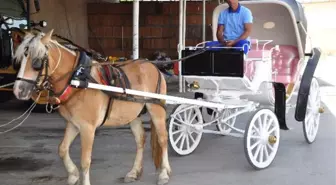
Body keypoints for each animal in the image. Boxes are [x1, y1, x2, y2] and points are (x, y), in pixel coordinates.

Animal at [12, 29, 172, 185]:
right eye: (18, 61)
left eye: (36, 62)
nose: (18, 90)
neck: (78, 81)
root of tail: (153, 66)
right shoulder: (73, 123)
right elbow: (62, 149)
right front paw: (73, 175)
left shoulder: (87, 128)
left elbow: (85, 161)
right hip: (132, 114)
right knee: (140, 139)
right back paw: (134, 172)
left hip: (156, 109)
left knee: (163, 139)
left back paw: (164, 173)